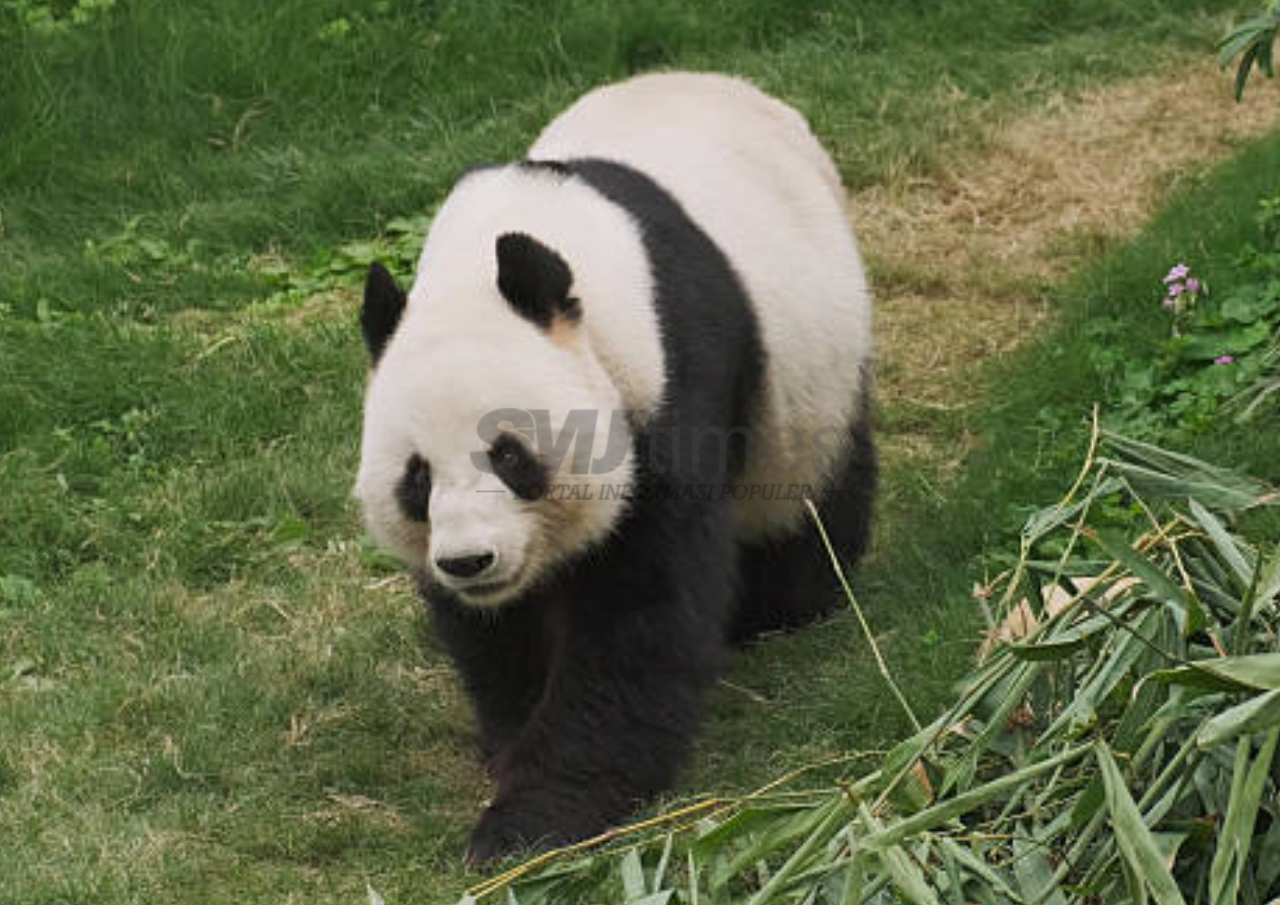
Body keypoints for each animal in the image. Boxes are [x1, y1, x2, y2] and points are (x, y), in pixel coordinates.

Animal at [355, 72, 875, 863]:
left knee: (810, 493)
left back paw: (786, 600)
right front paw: (511, 742)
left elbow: (637, 613)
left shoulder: (669, 379)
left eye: (509, 455)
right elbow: (500, 635)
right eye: (416, 477)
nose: (470, 561)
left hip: (810, 378)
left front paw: (532, 820)